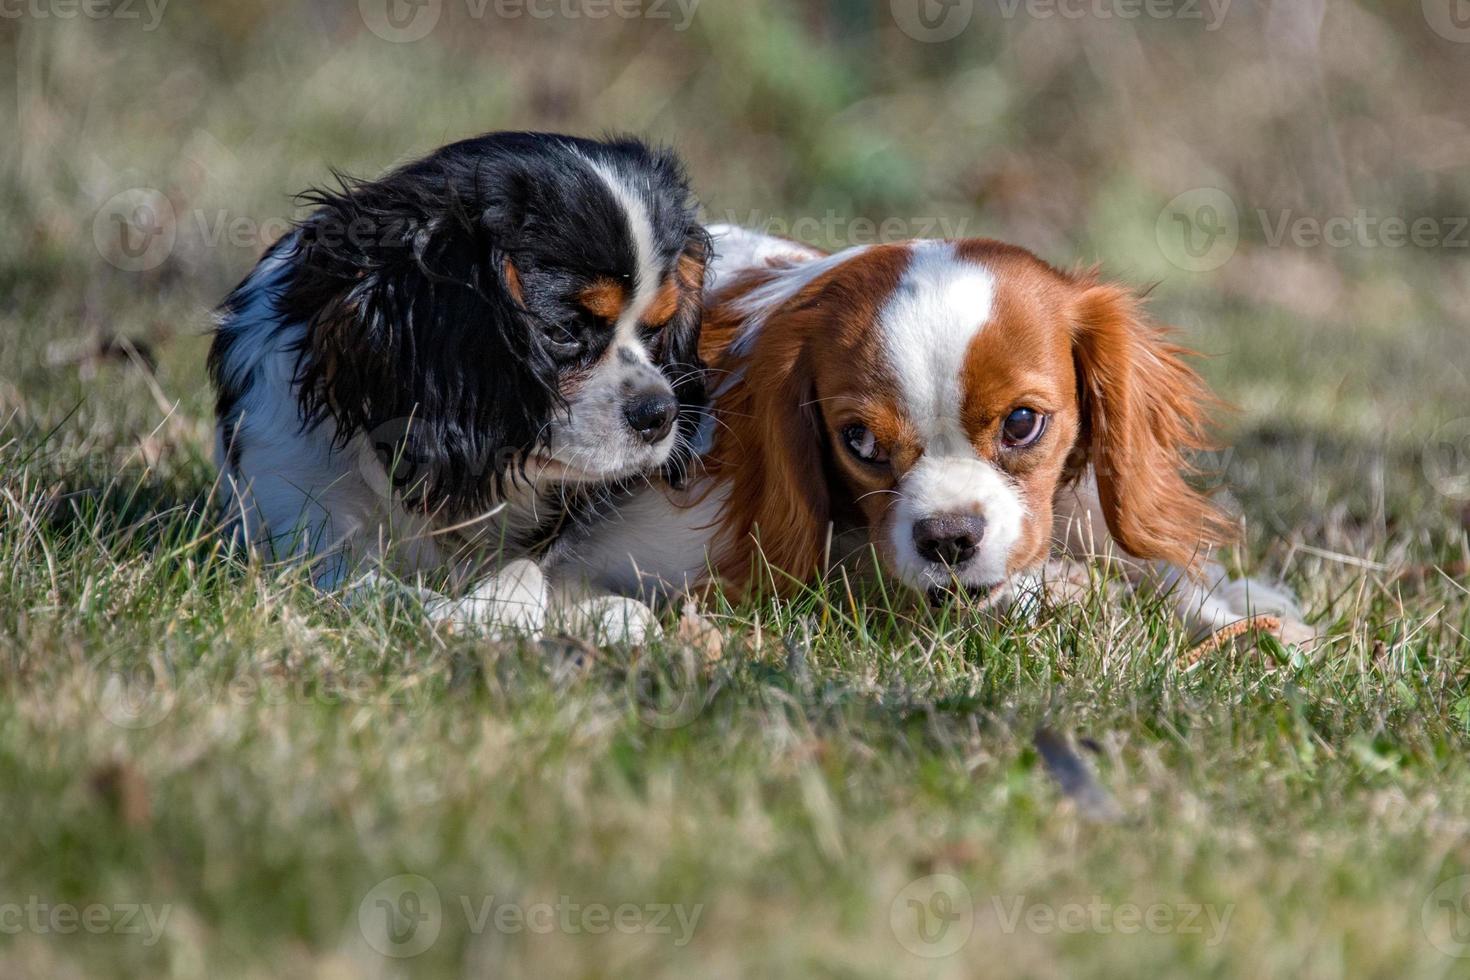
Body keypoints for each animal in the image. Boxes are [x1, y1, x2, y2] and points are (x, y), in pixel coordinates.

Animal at [210, 132, 708, 637]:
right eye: (562, 331)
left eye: (655, 329)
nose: (659, 413)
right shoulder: (306, 538)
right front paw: (469, 616)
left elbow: (532, 572)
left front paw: (607, 617)